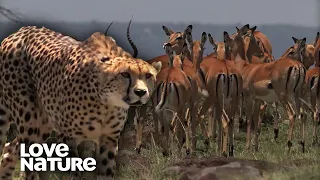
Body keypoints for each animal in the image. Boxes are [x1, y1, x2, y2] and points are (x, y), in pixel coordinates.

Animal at [0, 20, 161, 180]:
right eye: (125, 74)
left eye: (148, 75)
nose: (140, 92)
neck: (106, 103)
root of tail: (20, 31)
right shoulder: (67, 138)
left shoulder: (109, 138)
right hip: (29, 122)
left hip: (43, 124)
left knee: (9, 150)